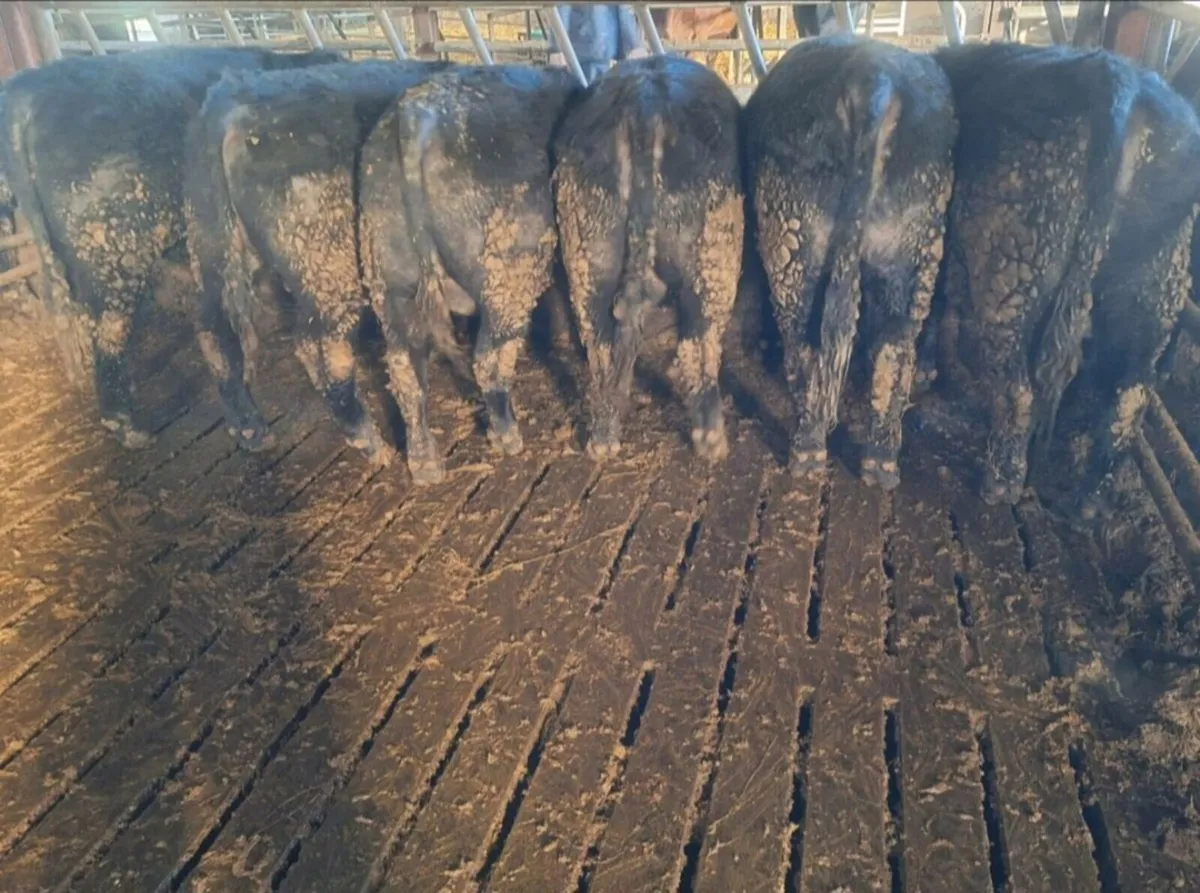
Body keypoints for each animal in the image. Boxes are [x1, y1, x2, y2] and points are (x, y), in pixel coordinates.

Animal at [184, 59, 450, 458]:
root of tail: (230, 110)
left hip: (212, 246)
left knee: (216, 330)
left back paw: (251, 430)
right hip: (330, 267)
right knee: (322, 345)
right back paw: (369, 440)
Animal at [359, 64, 580, 483]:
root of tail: (417, 115)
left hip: (390, 279)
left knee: (405, 368)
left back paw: (425, 463)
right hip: (507, 278)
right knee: (489, 358)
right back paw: (506, 435)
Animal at [553, 55, 743, 462]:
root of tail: (645, 103)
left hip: (588, 253)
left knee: (600, 343)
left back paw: (603, 437)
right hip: (712, 256)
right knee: (700, 342)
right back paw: (711, 440)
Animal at [742, 35, 956, 490]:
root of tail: (871, 77)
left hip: (797, 239)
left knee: (811, 346)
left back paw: (813, 455)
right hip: (913, 244)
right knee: (892, 348)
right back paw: (876, 461)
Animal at [931, 43, 1200, 509]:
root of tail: (1121, 83)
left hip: (1012, 270)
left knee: (1017, 388)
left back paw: (998, 485)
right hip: (1157, 283)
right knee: (1130, 397)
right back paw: (1089, 501)